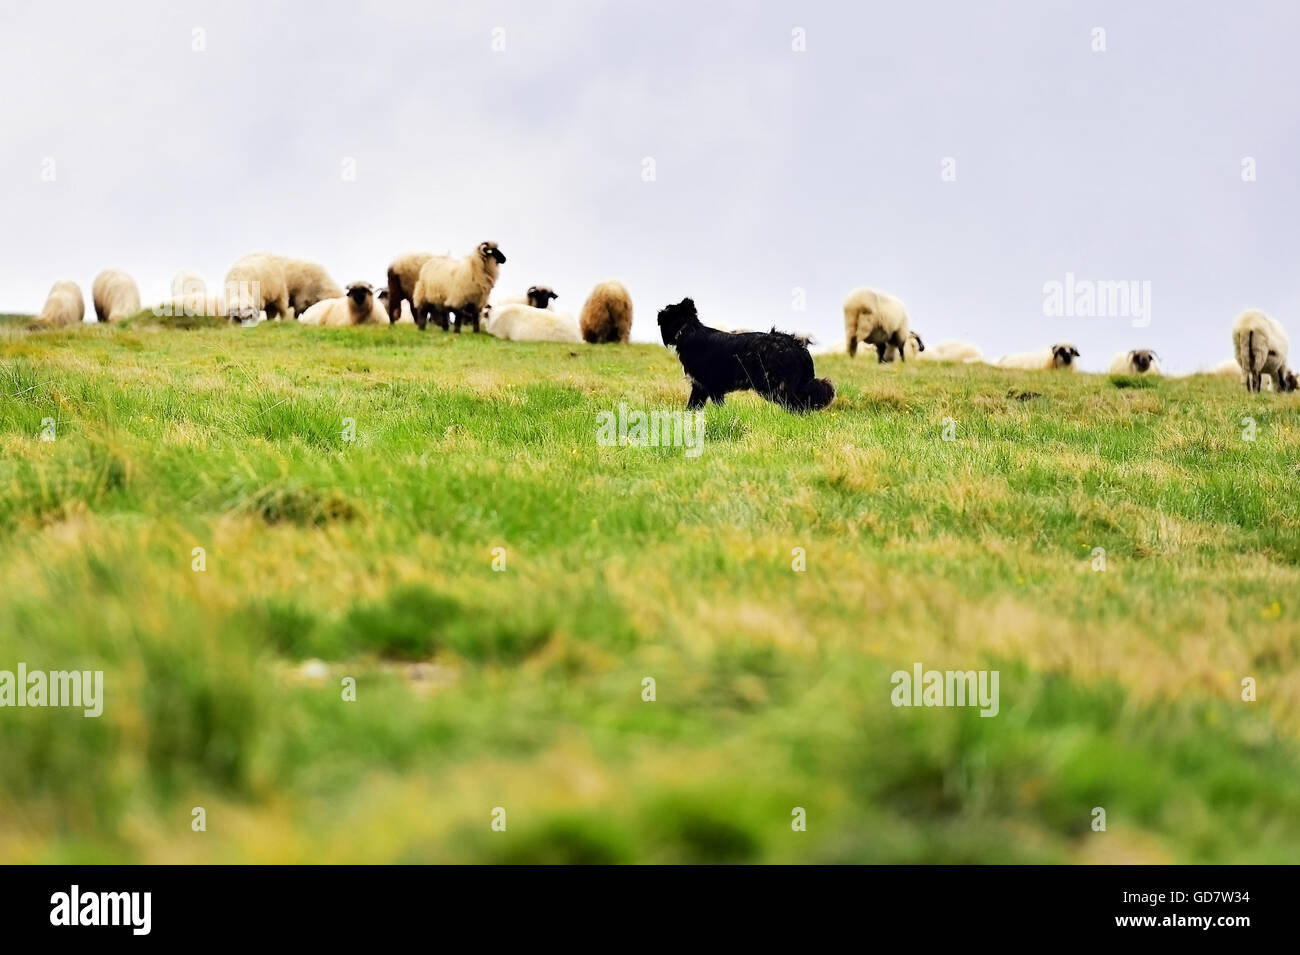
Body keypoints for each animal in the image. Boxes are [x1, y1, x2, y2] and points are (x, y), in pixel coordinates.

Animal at [655, 298, 837, 410]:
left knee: (799, 404)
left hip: (777, 387)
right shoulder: (701, 388)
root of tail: (797, 345)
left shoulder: (711, 386)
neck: (687, 330)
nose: (658, 313)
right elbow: (692, 408)